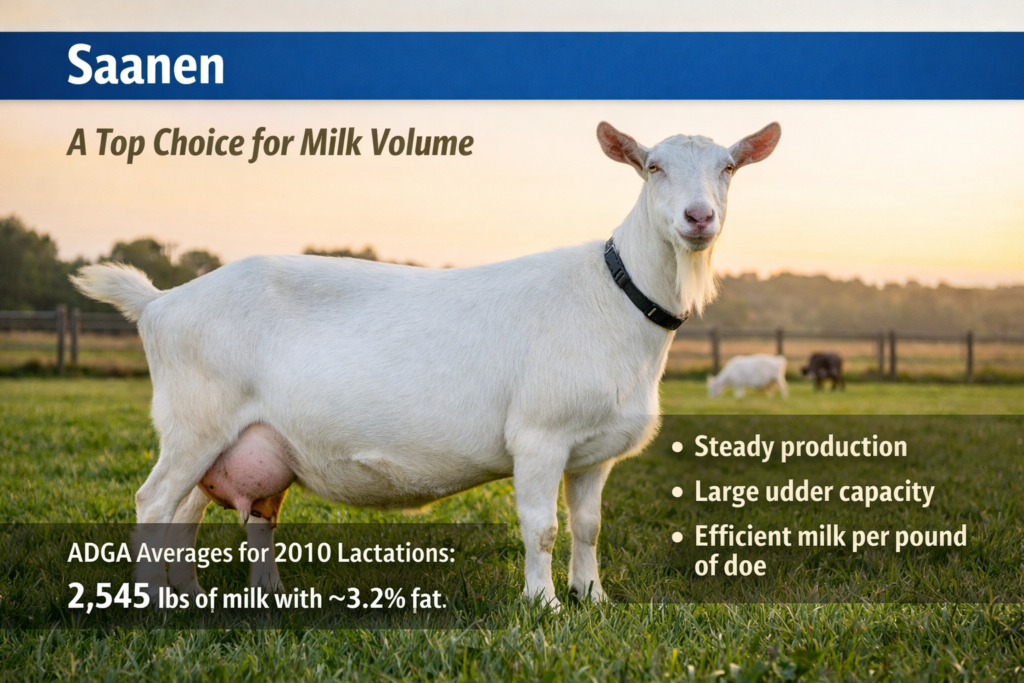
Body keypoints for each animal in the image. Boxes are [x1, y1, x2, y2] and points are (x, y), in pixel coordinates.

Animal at [72, 120, 780, 609]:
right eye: (652, 166)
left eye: (728, 168)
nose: (698, 217)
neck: (615, 296)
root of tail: (161, 302)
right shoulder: (539, 435)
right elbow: (542, 528)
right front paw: (544, 605)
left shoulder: (594, 450)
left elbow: (588, 526)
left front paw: (593, 599)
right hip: (194, 421)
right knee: (153, 502)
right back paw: (151, 605)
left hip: (225, 437)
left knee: (186, 513)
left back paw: (197, 599)